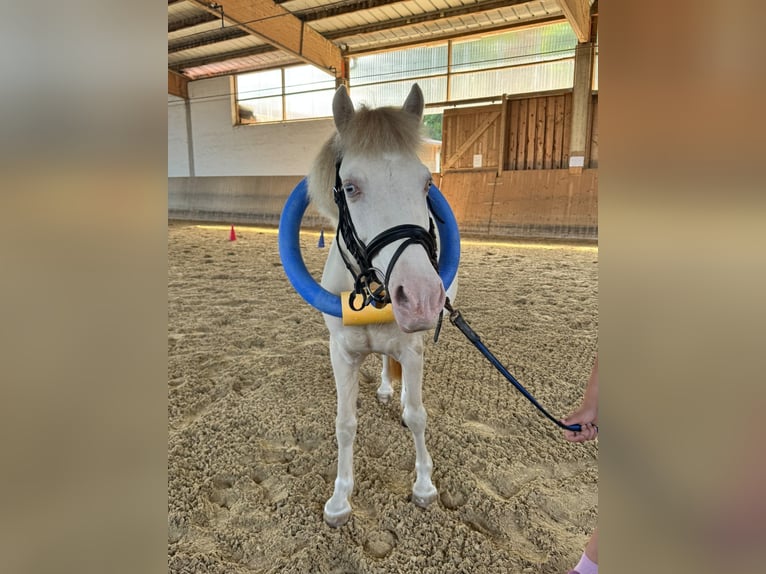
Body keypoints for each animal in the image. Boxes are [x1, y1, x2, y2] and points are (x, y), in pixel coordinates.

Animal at [307, 84, 457, 527]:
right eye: (350, 187)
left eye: (426, 184)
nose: (421, 298)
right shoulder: (341, 354)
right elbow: (345, 423)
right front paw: (339, 500)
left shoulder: (413, 350)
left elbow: (418, 415)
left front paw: (424, 486)